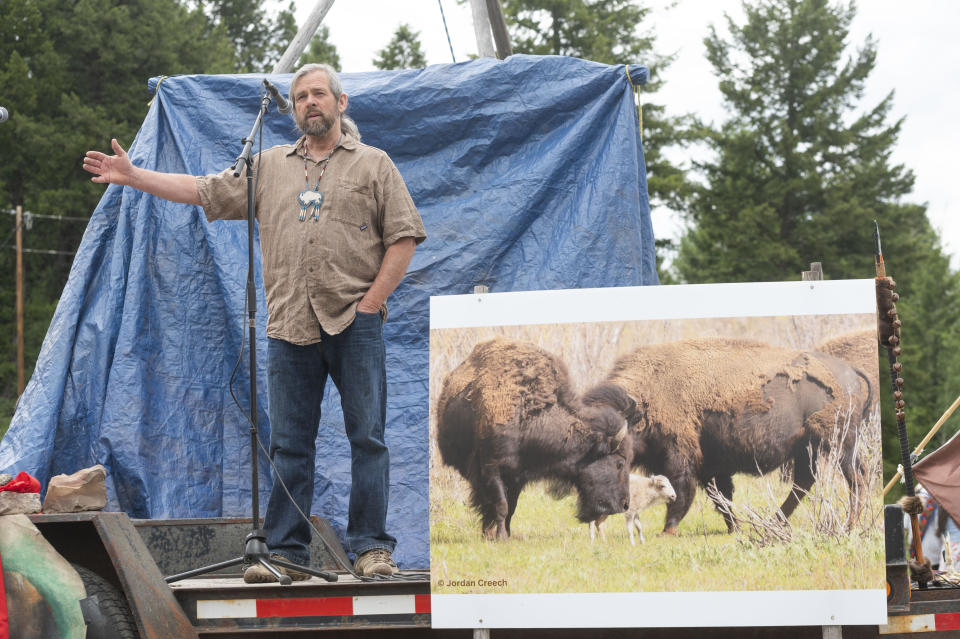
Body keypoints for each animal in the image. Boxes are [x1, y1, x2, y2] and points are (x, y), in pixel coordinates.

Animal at [436, 338, 632, 544]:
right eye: (619, 464)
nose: (625, 504)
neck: (530, 416)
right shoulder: (493, 469)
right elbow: (501, 505)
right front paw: (501, 537)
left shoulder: (517, 476)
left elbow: (511, 507)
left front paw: (507, 534)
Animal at [580, 338, 872, 536]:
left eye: (613, 452)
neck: (645, 399)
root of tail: (849, 370)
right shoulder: (712, 466)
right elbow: (721, 497)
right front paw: (735, 528)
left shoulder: (683, 456)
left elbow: (683, 491)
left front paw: (667, 530)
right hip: (807, 449)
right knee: (806, 482)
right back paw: (775, 522)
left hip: (838, 444)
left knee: (854, 479)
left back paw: (849, 526)